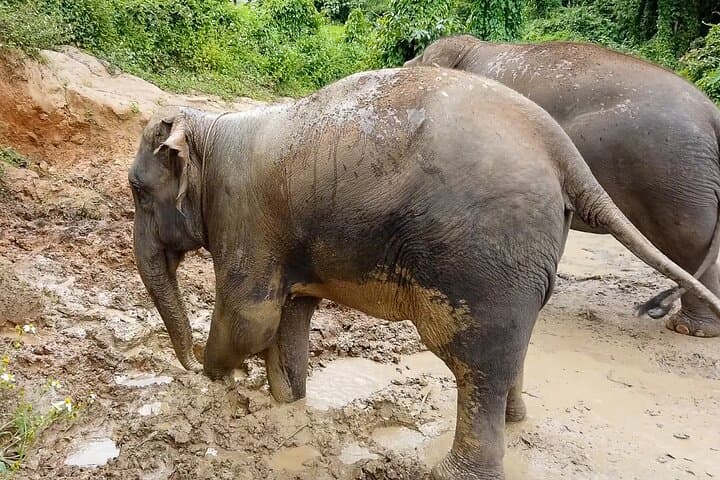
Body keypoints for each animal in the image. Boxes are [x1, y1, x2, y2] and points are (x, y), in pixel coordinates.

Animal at [128, 67, 720, 480]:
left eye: (137, 190)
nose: (185, 366)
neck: (210, 130)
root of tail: (563, 153)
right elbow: (290, 314)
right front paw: (286, 404)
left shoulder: (244, 216)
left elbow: (250, 315)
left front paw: (220, 380)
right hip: (523, 257)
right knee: (511, 347)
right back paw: (515, 421)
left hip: (483, 256)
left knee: (473, 359)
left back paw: (456, 470)